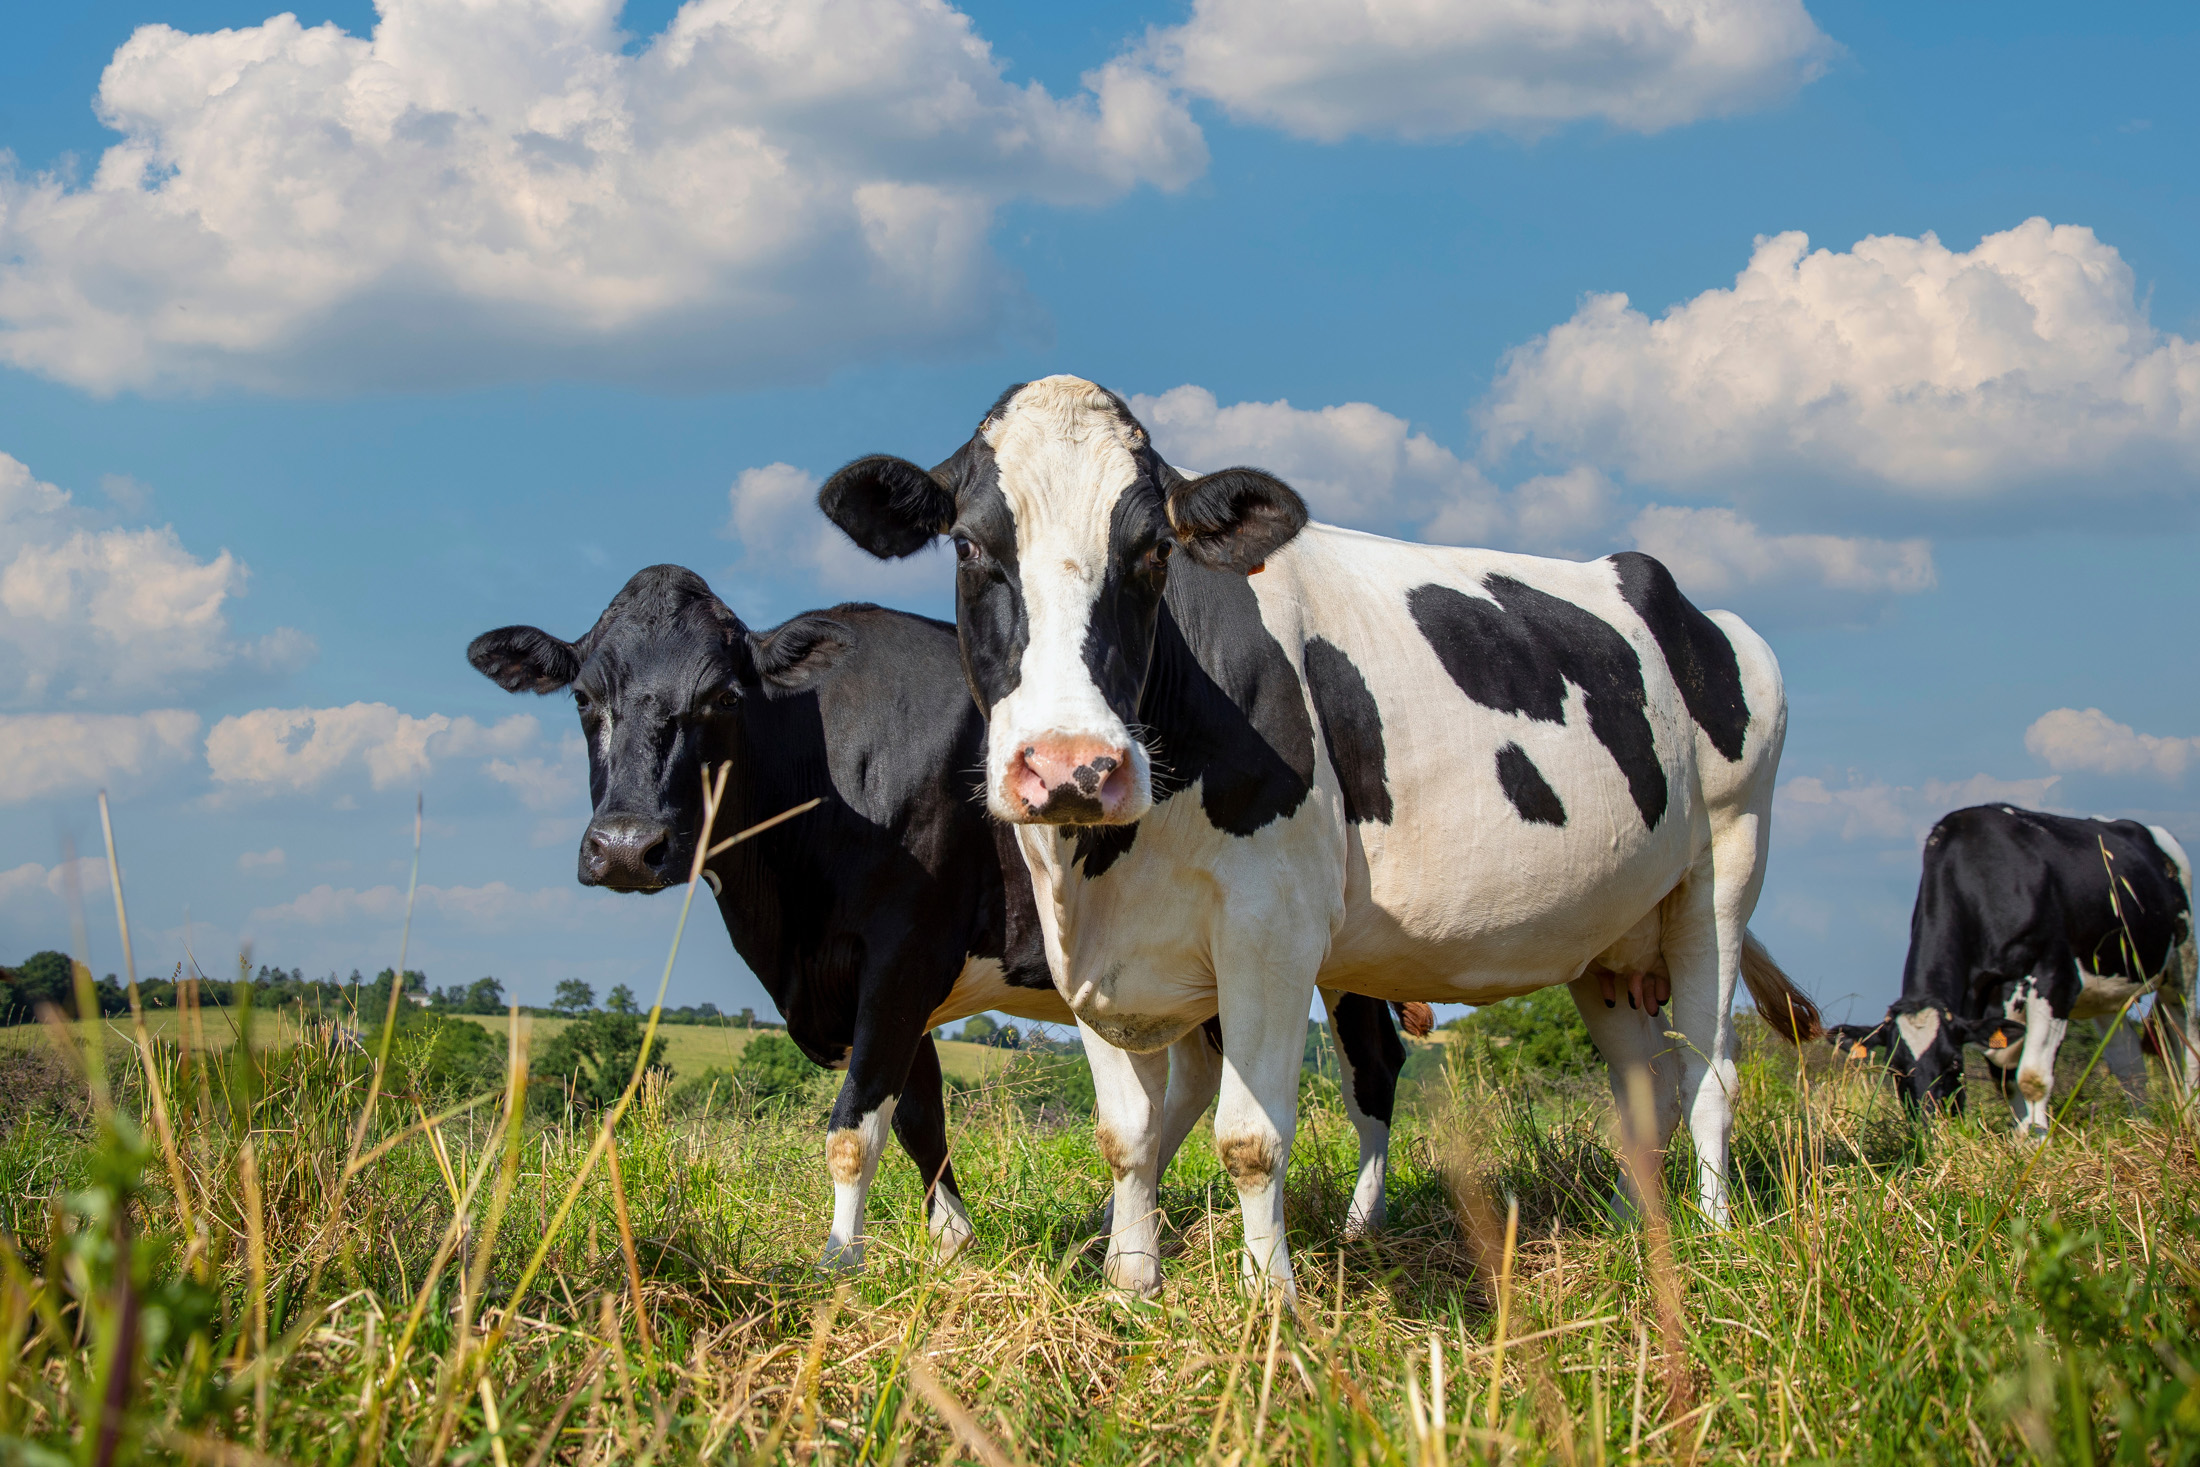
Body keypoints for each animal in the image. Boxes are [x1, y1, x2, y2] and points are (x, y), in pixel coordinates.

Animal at [466, 564, 1420, 1269]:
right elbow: (918, 1112)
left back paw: (1361, 1223)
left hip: (1326, 948)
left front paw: (838, 1261)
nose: (628, 846)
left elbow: (856, 1122)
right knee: (1194, 1072)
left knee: (1371, 1069)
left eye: (723, 699)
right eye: (584, 699)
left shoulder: (904, 949)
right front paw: (951, 1239)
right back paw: (1113, 1227)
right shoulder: (884, 981)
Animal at [818, 375, 1821, 1297]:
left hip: (1724, 867)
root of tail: (1691, 606)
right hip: (1607, 937)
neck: (1108, 864)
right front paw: (1130, 1287)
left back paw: (1713, 1236)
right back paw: (1630, 1223)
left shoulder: (1271, 926)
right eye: (969, 544)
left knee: (1712, 1069)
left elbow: (1250, 1139)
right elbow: (1125, 1136)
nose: (1073, 767)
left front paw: (1271, 1303)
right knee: (1645, 1079)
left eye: (1154, 551)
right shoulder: (1087, 953)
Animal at [1854, 805, 2196, 1134]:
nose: (1929, 1126)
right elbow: (2007, 1080)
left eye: (1954, 1063)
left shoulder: (2056, 981)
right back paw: (2141, 1124)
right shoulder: (1987, 1010)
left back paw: (2188, 1116)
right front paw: (2022, 1139)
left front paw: (2039, 1140)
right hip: (2107, 992)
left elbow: (2031, 1077)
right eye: (1895, 1068)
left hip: (2182, 964)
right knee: (2129, 1062)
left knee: (2187, 1045)